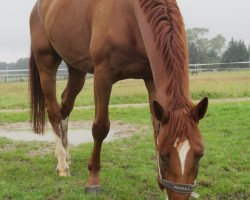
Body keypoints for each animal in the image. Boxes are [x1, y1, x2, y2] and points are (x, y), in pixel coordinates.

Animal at [29, 0, 208, 198]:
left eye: (200, 154)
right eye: (163, 155)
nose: (179, 196)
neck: (130, 17)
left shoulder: (151, 79)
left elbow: (156, 128)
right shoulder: (102, 76)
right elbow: (100, 127)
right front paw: (93, 179)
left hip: (76, 68)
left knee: (65, 105)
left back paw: (67, 155)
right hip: (46, 62)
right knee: (53, 111)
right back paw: (62, 164)